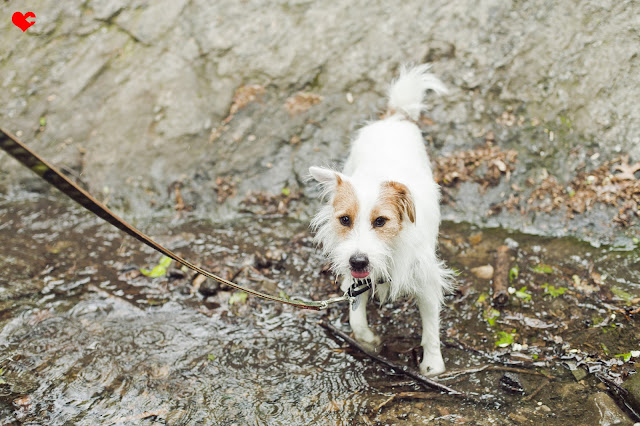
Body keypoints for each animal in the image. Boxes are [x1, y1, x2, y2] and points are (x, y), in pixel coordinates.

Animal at [308, 64, 450, 376]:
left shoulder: (426, 279)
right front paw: (369, 341)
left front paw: (433, 364)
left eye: (381, 221)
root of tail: (396, 117)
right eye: (345, 219)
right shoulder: (359, 280)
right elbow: (356, 319)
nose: (358, 261)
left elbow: (431, 326)